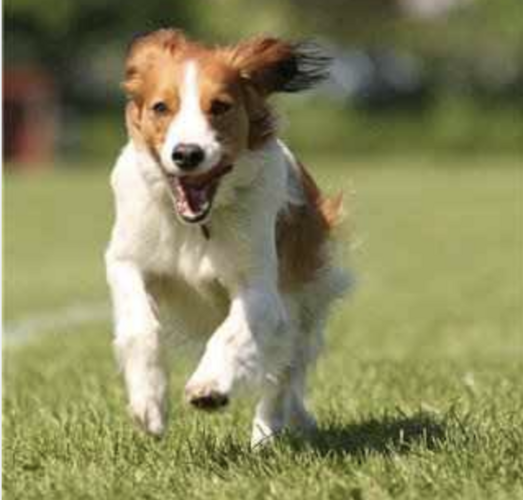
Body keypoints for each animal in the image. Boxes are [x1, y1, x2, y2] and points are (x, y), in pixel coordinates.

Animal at [105, 29, 348, 447]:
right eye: (160, 107)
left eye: (219, 106)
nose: (187, 154)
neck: (196, 225)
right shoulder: (126, 259)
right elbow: (140, 325)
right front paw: (148, 403)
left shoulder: (262, 289)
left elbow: (234, 333)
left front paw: (209, 386)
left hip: (303, 303)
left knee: (282, 372)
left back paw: (266, 433)